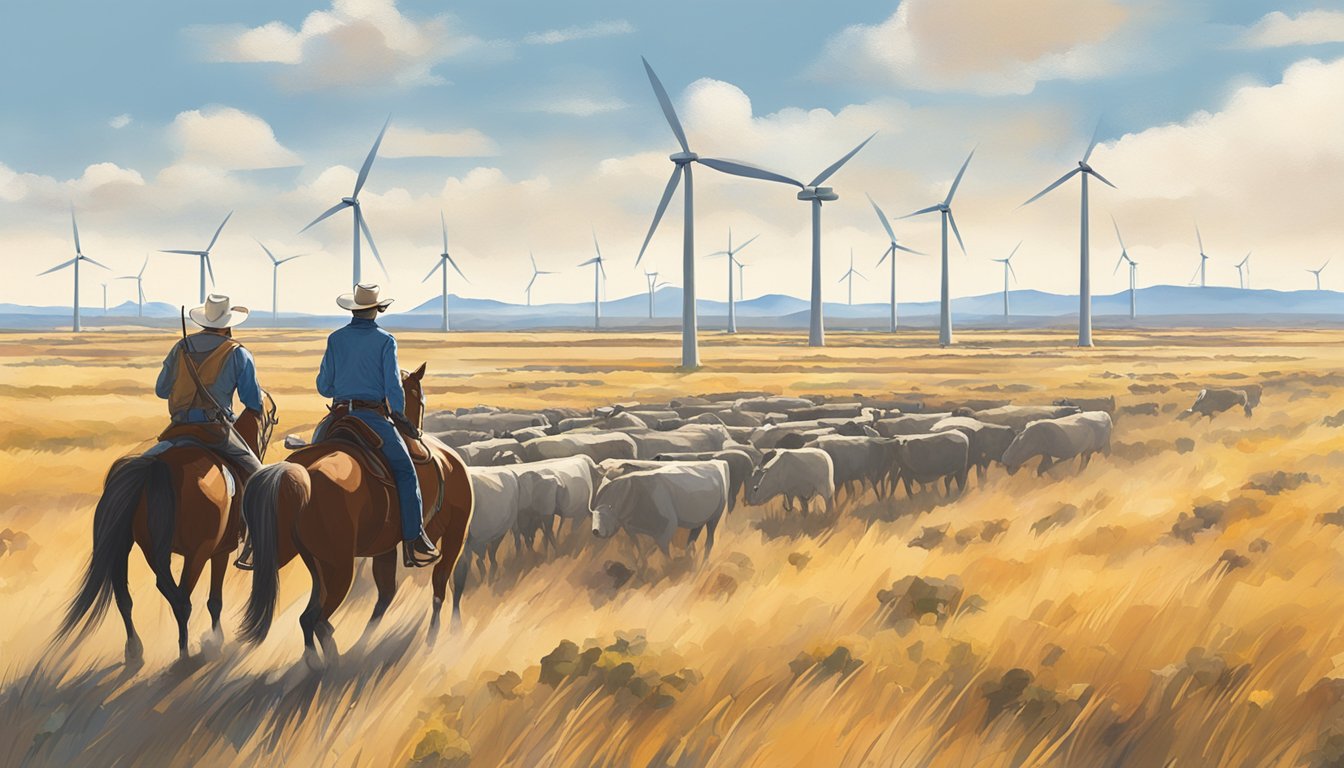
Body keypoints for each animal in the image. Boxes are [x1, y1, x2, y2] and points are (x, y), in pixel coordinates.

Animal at [56, 392, 276, 664]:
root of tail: (156, 466)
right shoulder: (221, 551)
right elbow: (215, 601)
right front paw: (216, 640)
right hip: (197, 553)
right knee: (182, 599)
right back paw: (185, 653)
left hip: (131, 545)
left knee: (128, 596)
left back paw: (135, 649)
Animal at [241, 363, 473, 669]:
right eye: (419, 398)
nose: (415, 432)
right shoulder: (452, 535)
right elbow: (418, 590)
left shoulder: (384, 548)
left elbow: (386, 593)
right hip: (341, 567)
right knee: (314, 617)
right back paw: (329, 658)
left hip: (310, 560)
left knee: (315, 616)